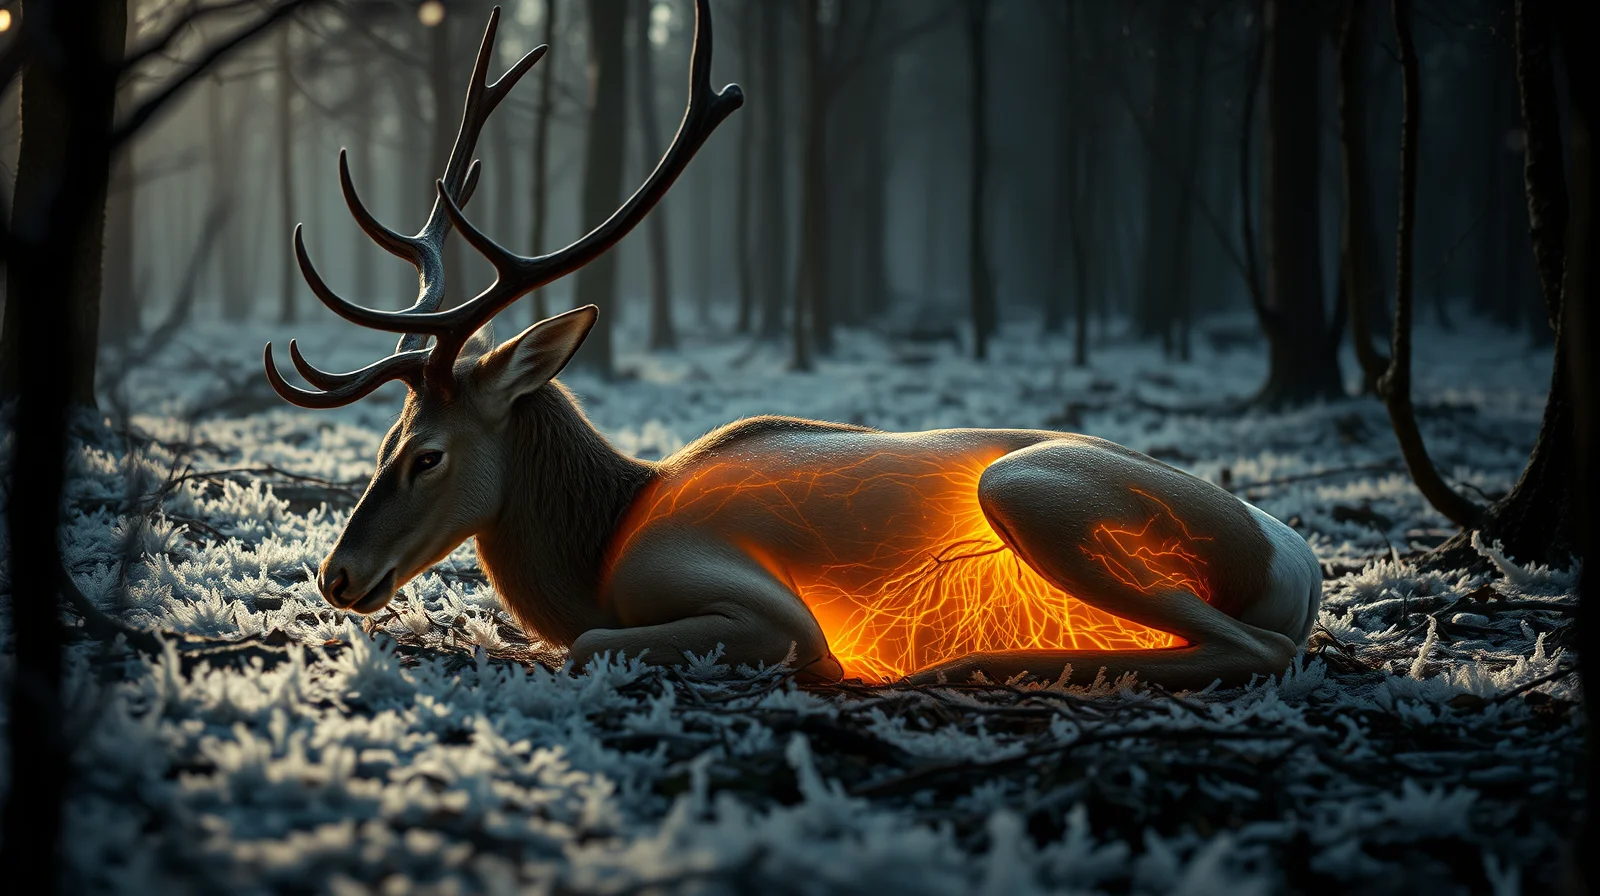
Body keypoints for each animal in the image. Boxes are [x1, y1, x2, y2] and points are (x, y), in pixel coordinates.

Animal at [265, 1, 1322, 690]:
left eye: (428, 455)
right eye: (384, 442)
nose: (337, 574)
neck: (598, 550)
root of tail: (1296, 560)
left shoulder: (738, 600)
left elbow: (597, 646)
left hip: (1036, 490)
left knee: (1256, 651)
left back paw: (973, 663)